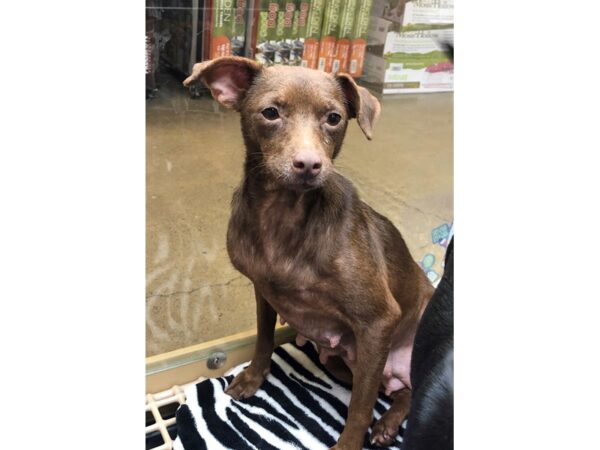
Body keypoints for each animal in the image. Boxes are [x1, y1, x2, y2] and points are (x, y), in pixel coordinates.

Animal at [183, 57, 432, 450]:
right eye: (270, 112)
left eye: (334, 118)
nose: (310, 164)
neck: (283, 214)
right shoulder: (263, 292)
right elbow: (264, 338)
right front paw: (253, 377)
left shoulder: (378, 321)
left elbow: (360, 408)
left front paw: (348, 445)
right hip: (343, 362)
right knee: (394, 391)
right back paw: (389, 420)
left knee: (395, 393)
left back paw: (387, 424)